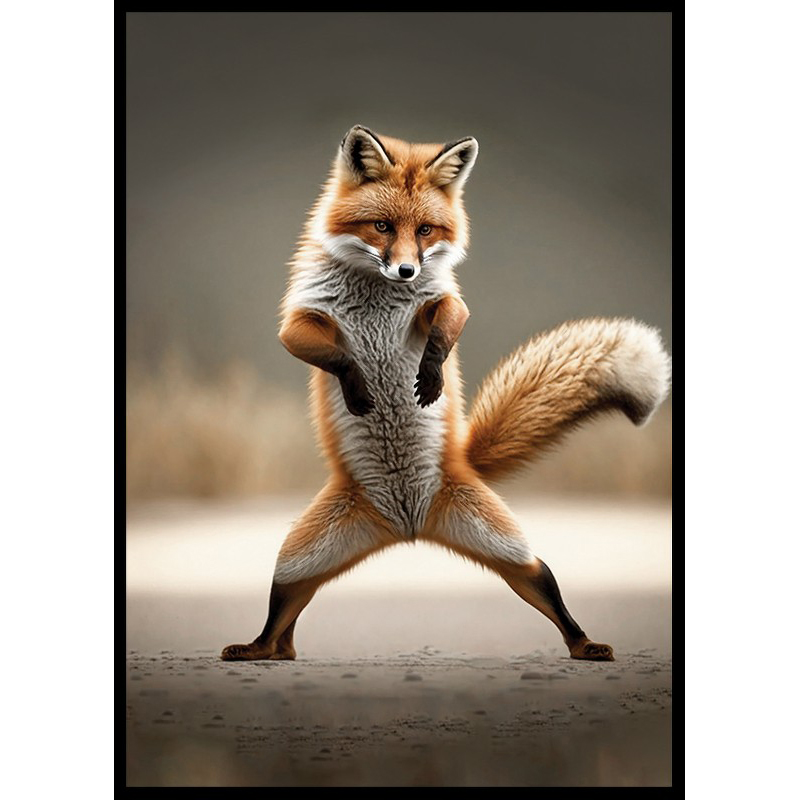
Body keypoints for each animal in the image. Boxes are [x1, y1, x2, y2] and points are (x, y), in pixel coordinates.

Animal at [221, 125, 671, 663]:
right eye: (382, 226)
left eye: (425, 231)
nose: (406, 272)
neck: (377, 296)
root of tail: (408, 527)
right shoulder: (301, 319)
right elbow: (335, 356)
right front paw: (360, 386)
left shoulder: (443, 299)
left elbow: (447, 326)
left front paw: (431, 376)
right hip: (298, 561)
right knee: (282, 614)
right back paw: (262, 649)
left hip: (506, 549)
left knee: (543, 579)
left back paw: (584, 645)